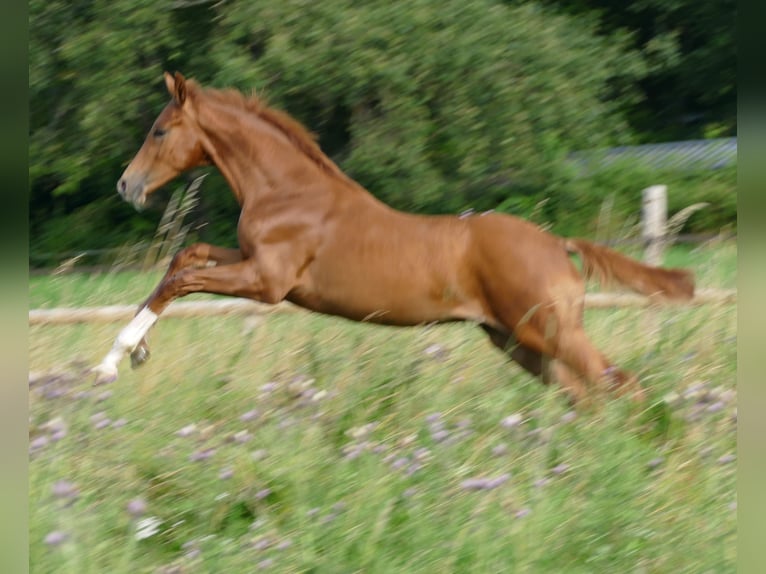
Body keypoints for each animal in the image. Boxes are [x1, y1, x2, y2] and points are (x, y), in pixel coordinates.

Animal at [94, 72, 696, 402]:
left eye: (160, 131)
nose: (126, 184)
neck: (289, 191)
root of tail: (558, 245)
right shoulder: (247, 259)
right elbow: (183, 258)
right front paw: (135, 352)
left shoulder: (268, 282)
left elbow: (182, 279)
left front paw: (112, 360)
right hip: (518, 342)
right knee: (587, 397)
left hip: (551, 334)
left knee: (623, 386)